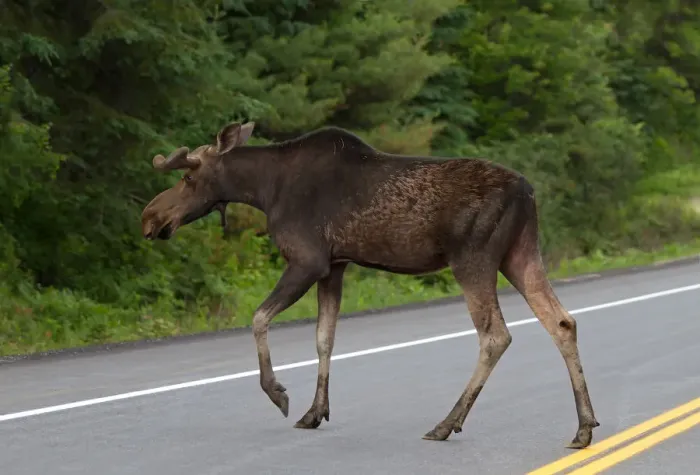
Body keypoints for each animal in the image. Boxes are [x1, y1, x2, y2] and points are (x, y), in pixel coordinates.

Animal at [141, 121, 599, 448]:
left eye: (187, 178)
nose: (149, 217)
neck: (265, 190)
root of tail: (529, 192)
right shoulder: (335, 266)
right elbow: (324, 339)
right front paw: (315, 412)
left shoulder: (308, 260)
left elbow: (258, 317)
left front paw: (279, 393)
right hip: (519, 254)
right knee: (561, 322)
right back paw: (584, 427)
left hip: (474, 258)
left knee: (495, 335)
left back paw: (446, 423)